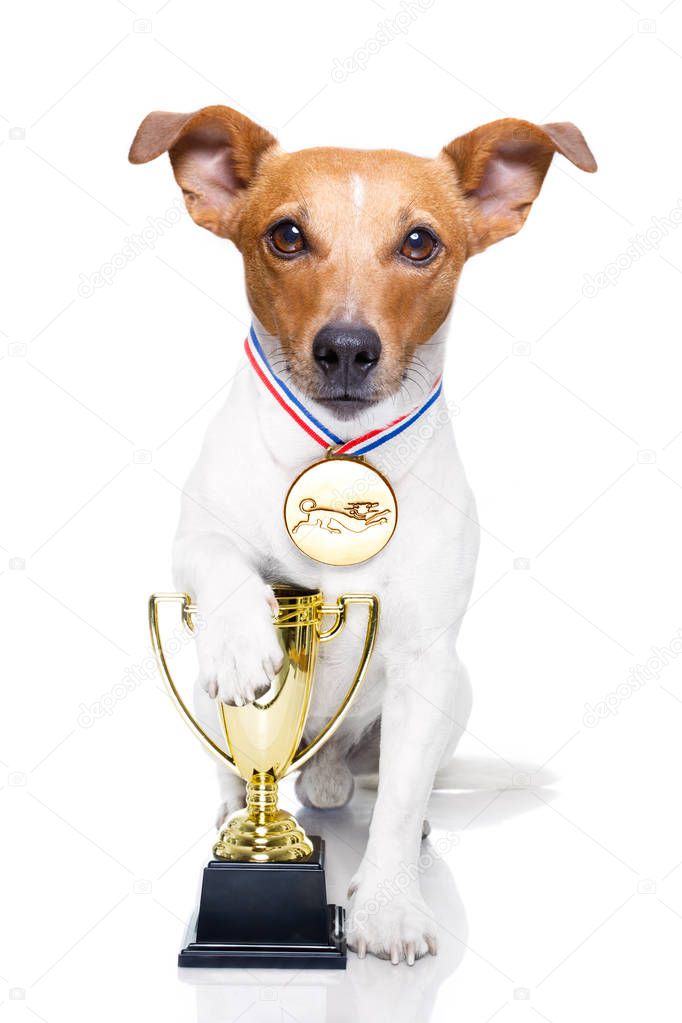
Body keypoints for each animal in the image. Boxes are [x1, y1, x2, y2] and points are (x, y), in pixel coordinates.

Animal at [129, 107, 597, 961]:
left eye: (418, 242)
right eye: (286, 235)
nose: (346, 347)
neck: (340, 456)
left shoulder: (424, 662)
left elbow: (400, 800)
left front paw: (387, 906)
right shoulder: (194, 542)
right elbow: (219, 562)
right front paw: (243, 642)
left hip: (455, 690)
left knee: (386, 786)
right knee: (236, 766)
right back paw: (240, 801)